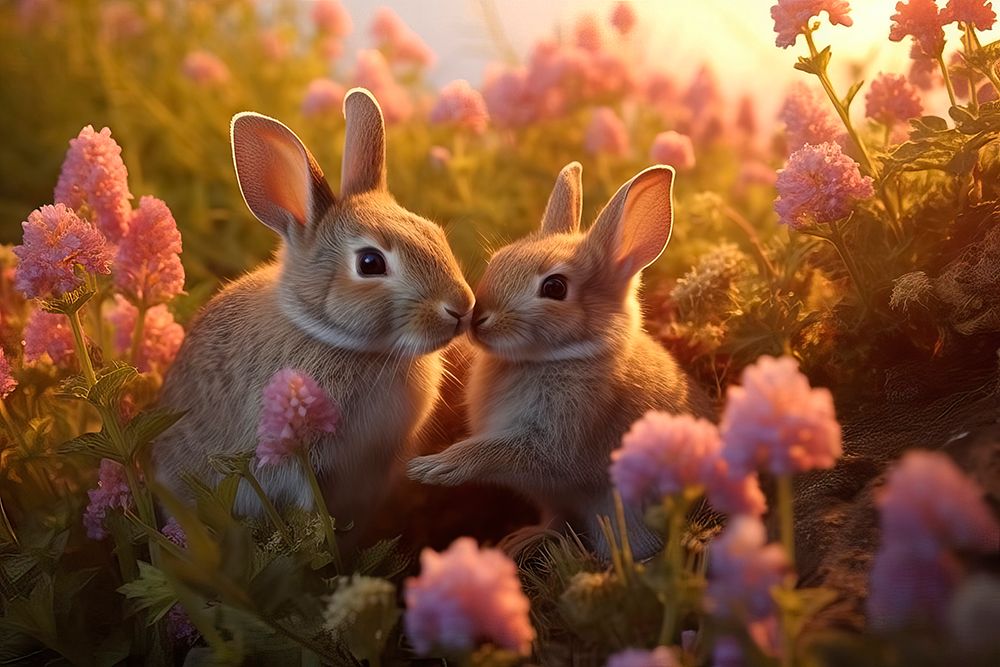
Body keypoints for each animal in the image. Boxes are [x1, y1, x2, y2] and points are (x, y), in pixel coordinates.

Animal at [406, 162, 713, 559]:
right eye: (498, 260)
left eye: (555, 288)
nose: (477, 319)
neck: (556, 357)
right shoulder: (552, 496)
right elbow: (554, 518)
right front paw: (521, 539)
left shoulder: (558, 442)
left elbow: (497, 451)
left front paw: (433, 467)